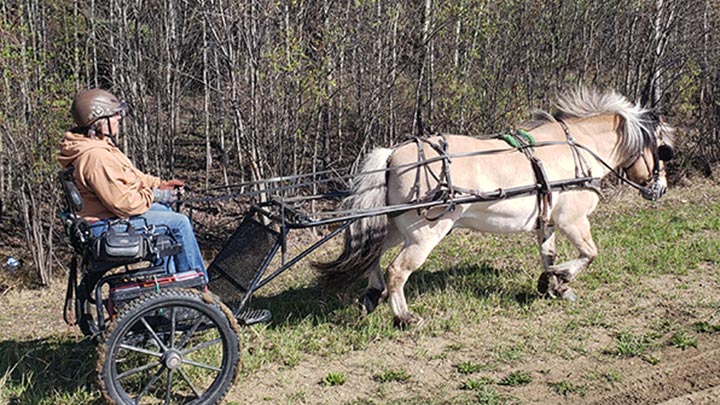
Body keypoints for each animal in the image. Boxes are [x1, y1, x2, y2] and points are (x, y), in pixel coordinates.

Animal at [316, 88, 675, 328]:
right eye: (663, 149)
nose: (661, 188)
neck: (581, 149)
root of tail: (393, 154)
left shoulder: (546, 222)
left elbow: (549, 255)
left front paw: (553, 286)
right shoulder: (572, 220)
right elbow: (589, 254)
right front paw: (561, 279)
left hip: (392, 225)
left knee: (372, 255)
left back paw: (372, 295)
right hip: (424, 233)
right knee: (396, 271)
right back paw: (404, 316)